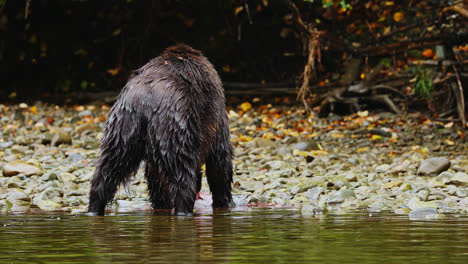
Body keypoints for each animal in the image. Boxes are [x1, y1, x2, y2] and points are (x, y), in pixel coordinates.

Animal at [88, 44, 234, 216]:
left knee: (106, 170)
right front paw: (225, 202)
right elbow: (220, 161)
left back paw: (94, 208)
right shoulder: (217, 118)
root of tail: (145, 100)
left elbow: (155, 177)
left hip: (122, 127)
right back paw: (184, 210)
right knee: (182, 175)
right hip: (174, 125)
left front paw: (162, 203)